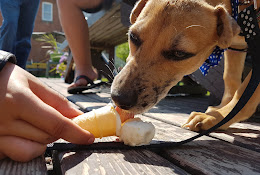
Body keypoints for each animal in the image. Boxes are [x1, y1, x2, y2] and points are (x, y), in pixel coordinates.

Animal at [110, 0, 260, 131]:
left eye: (179, 53)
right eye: (133, 36)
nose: (118, 98)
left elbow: (244, 93)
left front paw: (216, 117)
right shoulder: (234, 47)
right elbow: (230, 77)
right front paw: (220, 110)